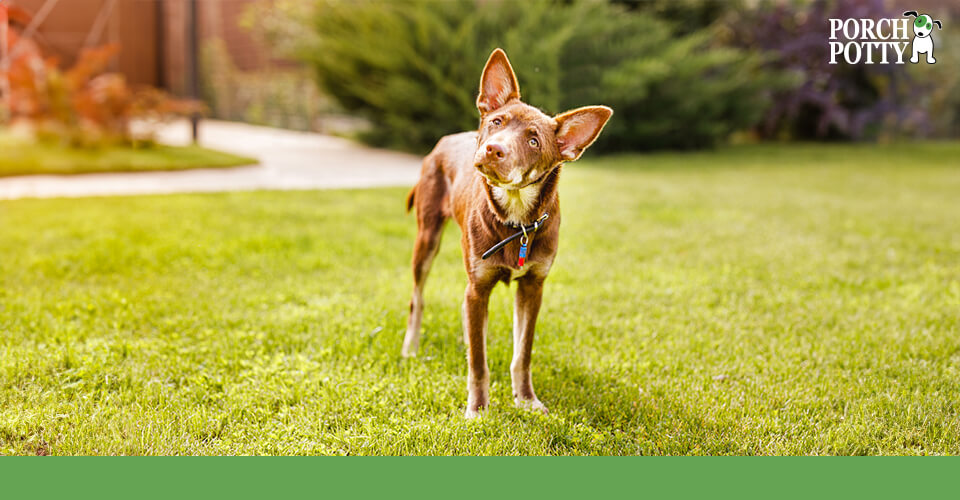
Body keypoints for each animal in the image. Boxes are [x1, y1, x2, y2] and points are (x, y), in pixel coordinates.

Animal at [402, 47, 612, 418]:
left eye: (534, 140)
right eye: (497, 122)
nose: (493, 150)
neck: (515, 219)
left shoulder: (533, 287)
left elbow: (522, 353)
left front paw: (526, 400)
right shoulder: (477, 287)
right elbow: (479, 361)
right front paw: (477, 410)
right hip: (427, 239)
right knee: (418, 298)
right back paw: (410, 348)